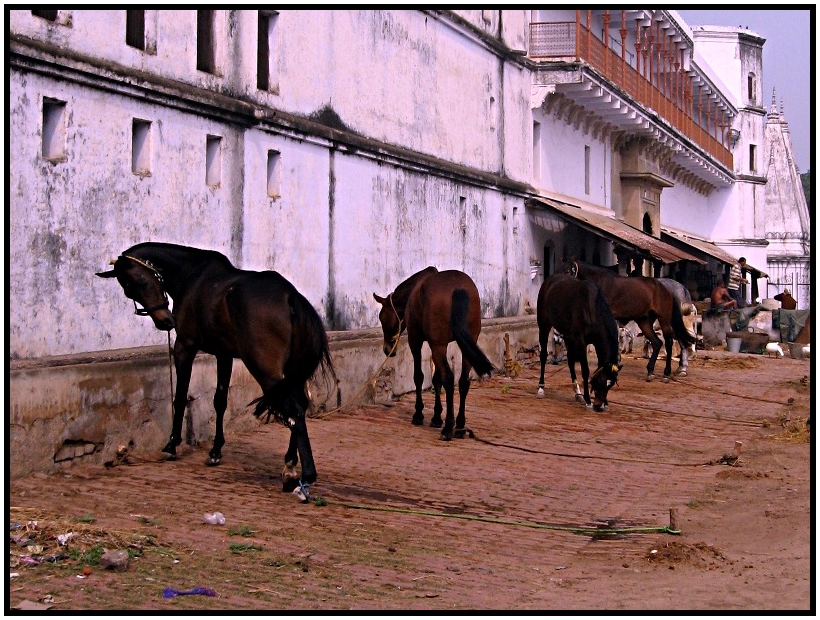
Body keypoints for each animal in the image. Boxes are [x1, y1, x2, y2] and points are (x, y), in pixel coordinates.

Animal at [97, 240, 334, 502]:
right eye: (128, 290)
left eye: (141, 281)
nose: (164, 321)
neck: (192, 273)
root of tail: (290, 296)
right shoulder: (224, 354)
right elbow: (220, 400)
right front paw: (215, 450)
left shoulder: (184, 346)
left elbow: (180, 397)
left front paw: (172, 445)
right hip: (291, 373)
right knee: (299, 406)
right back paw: (290, 466)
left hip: (266, 370)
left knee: (294, 411)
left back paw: (302, 476)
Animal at [374, 266, 494, 440]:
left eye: (383, 318)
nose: (387, 349)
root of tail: (458, 289)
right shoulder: (438, 345)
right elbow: (436, 378)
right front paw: (437, 417)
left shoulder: (416, 341)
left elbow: (419, 376)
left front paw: (418, 414)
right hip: (465, 343)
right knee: (463, 381)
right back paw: (460, 425)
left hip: (437, 345)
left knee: (449, 378)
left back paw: (449, 427)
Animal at [536, 272, 620, 410]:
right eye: (600, 381)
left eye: (610, 385)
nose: (599, 405)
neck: (593, 309)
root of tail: (550, 280)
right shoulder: (581, 341)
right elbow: (585, 370)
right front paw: (588, 400)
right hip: (544, 324)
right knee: (543, 355)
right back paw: (541, 388)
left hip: (568, 335)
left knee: (570, 360)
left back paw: (577, 392)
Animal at [556, 258, 692, 382]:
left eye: (567, 271)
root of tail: (666, 290)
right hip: (644, 321)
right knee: (657, 342)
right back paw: (651, 372)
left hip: (664, 319)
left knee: (668, 342)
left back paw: (666, 373)